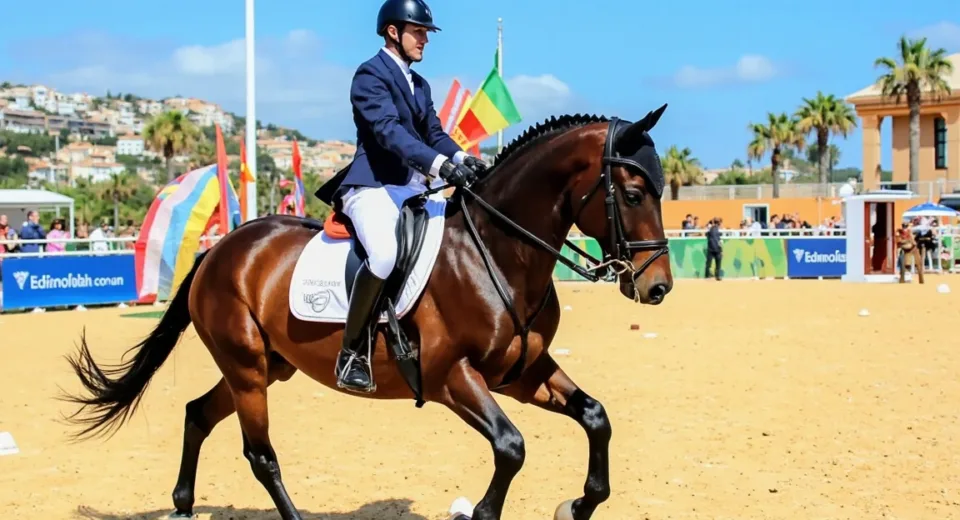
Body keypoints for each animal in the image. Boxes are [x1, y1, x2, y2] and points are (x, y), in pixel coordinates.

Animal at [60, 108, 675, 520]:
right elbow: (511, 447)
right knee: (260, 454)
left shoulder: (521, 372)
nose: (659, 286)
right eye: (634, 193)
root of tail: (221, 248)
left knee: (198, 415)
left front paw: (577, 505)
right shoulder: (452, 377)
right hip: (247, 367)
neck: (497, 252)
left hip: (269, 366)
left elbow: (596, 417)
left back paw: (184, 506)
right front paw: (487, 511)